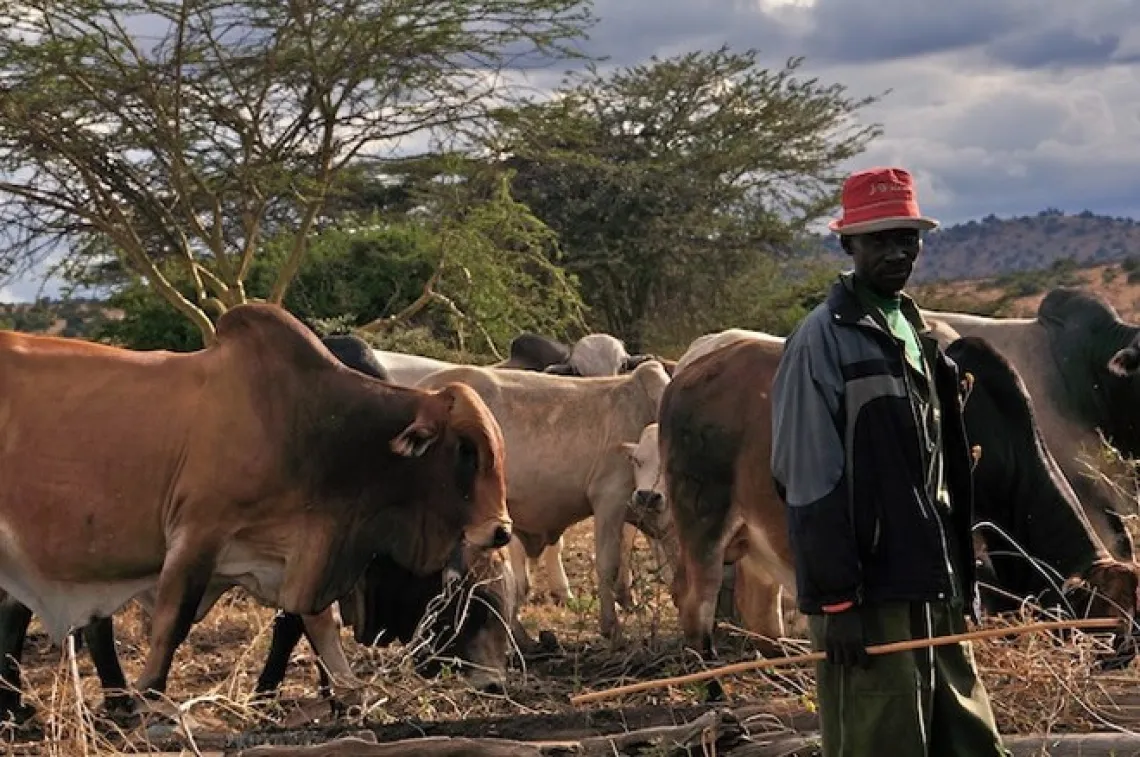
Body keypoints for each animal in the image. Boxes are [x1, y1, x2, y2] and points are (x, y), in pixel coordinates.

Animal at [0, 303, 510, 715]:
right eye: (466, 450)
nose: (501, 530)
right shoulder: (197, 533)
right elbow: (171, 622)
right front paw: (151, 697)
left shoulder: (297, 552)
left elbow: (317, 622)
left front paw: (348, 692)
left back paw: (22, 708)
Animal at [656, 335, 1135, 661]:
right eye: (1103, 612)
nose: (1124, 654)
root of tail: (684, 376)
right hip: (703, 523)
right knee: (694, 600)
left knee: (758, 613)